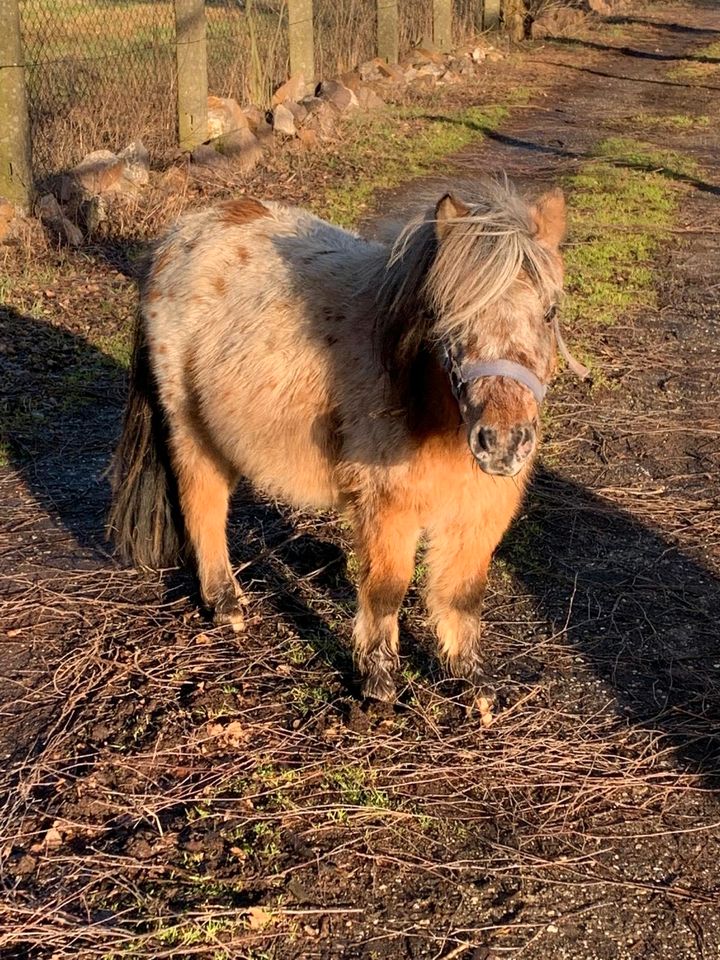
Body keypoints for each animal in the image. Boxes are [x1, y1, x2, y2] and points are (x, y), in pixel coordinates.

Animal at [108, 184, 568, 700]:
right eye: (448, 315)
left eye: (550, 312)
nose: (503, 442)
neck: (424, 404)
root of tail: (178, 235)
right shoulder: (386, 508)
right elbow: (387, 590)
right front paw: (378, 683)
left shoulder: (478, 510)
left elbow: (462, 593)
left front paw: (471, 681)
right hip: (192, 429)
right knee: (203, 506)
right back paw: (226, 604)